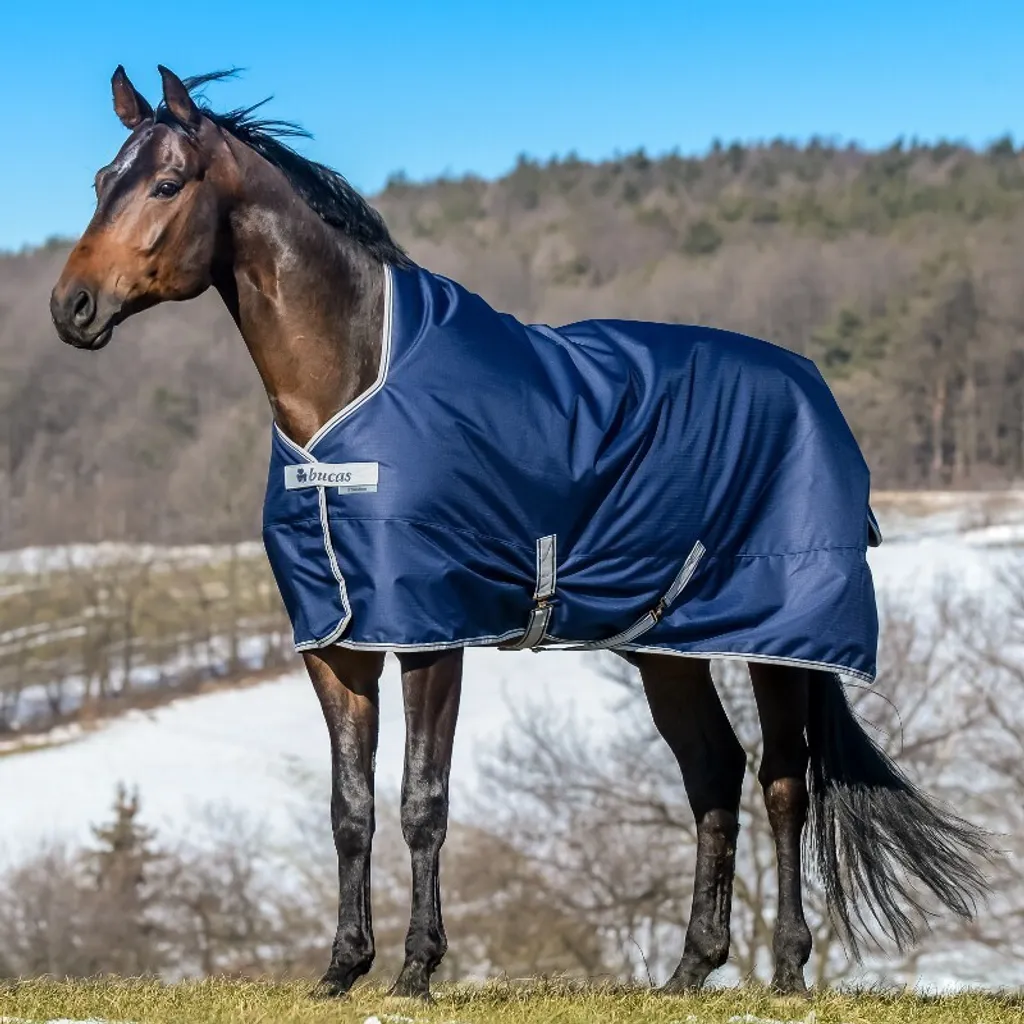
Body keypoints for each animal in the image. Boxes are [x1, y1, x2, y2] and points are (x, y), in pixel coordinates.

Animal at [50, 66, 990, 998]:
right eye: (99, 183)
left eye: (168, 184)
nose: (71, 307)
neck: (351, 397)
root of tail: (812, 389)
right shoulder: (336, 643)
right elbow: (349, 808)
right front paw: (341, 970)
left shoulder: (431, 634)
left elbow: (421, 801)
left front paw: (416, 970)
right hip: (666, 647)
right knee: (713, 773)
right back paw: (690, 969)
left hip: (781, 641)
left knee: (783, 782)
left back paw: (788, 971)